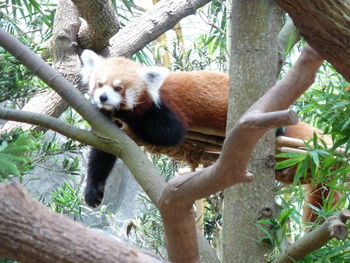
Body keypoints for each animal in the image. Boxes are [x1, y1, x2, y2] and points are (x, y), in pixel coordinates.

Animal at [80, 49, 338, 223]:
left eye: (118, 88)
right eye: (99, 84)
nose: (102, 98)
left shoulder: (166, 108)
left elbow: (170, 133)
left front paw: (123, 112)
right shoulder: (111, 132)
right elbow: (105, 150)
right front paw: (93, 190)